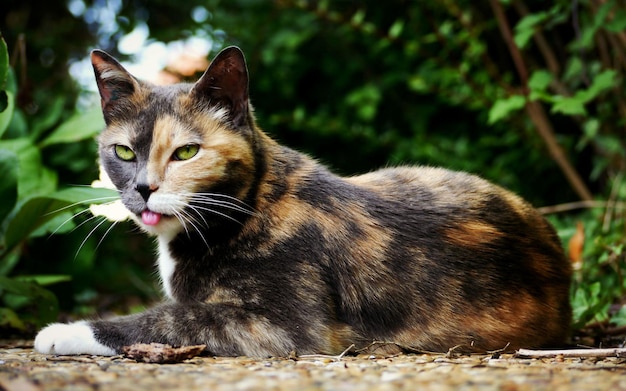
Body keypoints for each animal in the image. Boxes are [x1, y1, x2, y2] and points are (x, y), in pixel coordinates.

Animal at [34, 46, 572, 358]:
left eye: (187, 152)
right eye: (124, 152)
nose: (143, 187)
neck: (252, 202)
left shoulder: (284, 325)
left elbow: (170, 316)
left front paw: (64, 331)